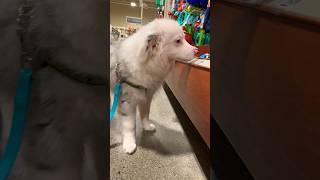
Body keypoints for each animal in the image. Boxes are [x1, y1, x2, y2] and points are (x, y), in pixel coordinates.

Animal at [109, 17, 198, 153]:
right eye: (178, 41)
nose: (196, 50)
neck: (149, 63)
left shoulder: (147, 95)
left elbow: (145, 113)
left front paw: (147, 126)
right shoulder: (127, 101)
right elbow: (129, 125)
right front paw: (129, 143)